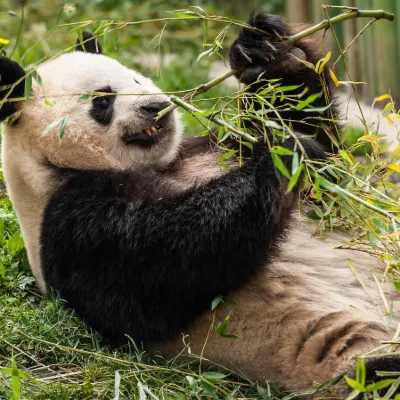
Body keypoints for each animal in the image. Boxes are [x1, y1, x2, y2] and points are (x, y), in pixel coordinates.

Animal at [0, 11, 400, 394]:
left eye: (137, 79)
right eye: (103, 100)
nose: (157, 106)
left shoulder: (215, 148)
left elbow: (319, 157)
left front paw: (261, 50)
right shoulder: (72, 223)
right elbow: (168, 262)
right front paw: (284, 156)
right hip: (346, 362)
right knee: (379, 373)